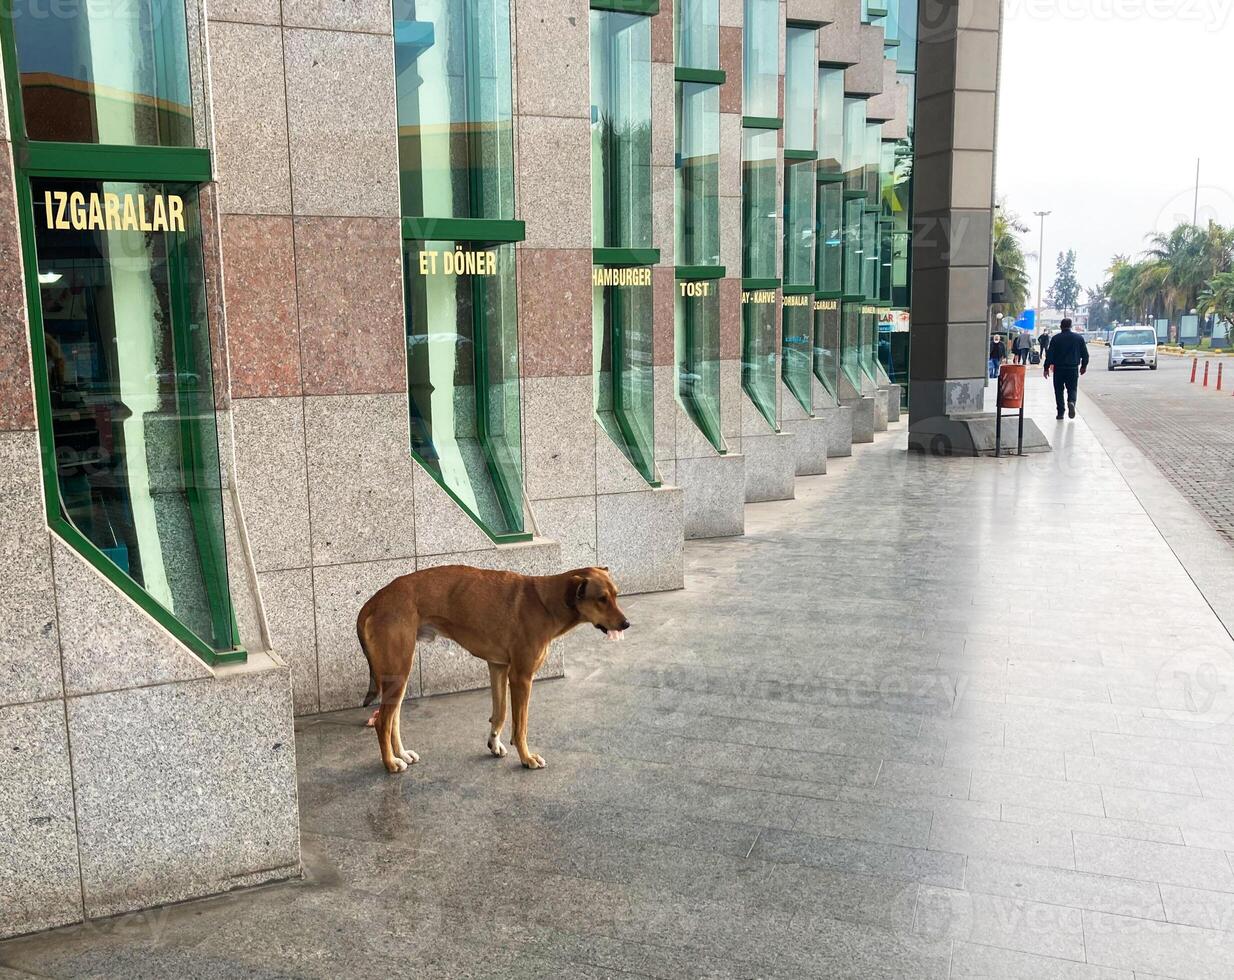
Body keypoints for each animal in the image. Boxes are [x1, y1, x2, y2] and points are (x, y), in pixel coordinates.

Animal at [355, 565, 626, 770]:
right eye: (602, 599)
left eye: (616, 594)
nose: (626, 624)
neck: (544, 602)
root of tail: (374, 601)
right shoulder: (521, 677)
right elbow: (520, 726)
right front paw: (527, 758)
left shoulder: (498, 667)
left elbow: (500, 712)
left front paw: (494, 743)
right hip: (398, 671)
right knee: (383, 722)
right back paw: (391, 763)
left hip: (398, 674)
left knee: (393, 719)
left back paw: (401, 754)